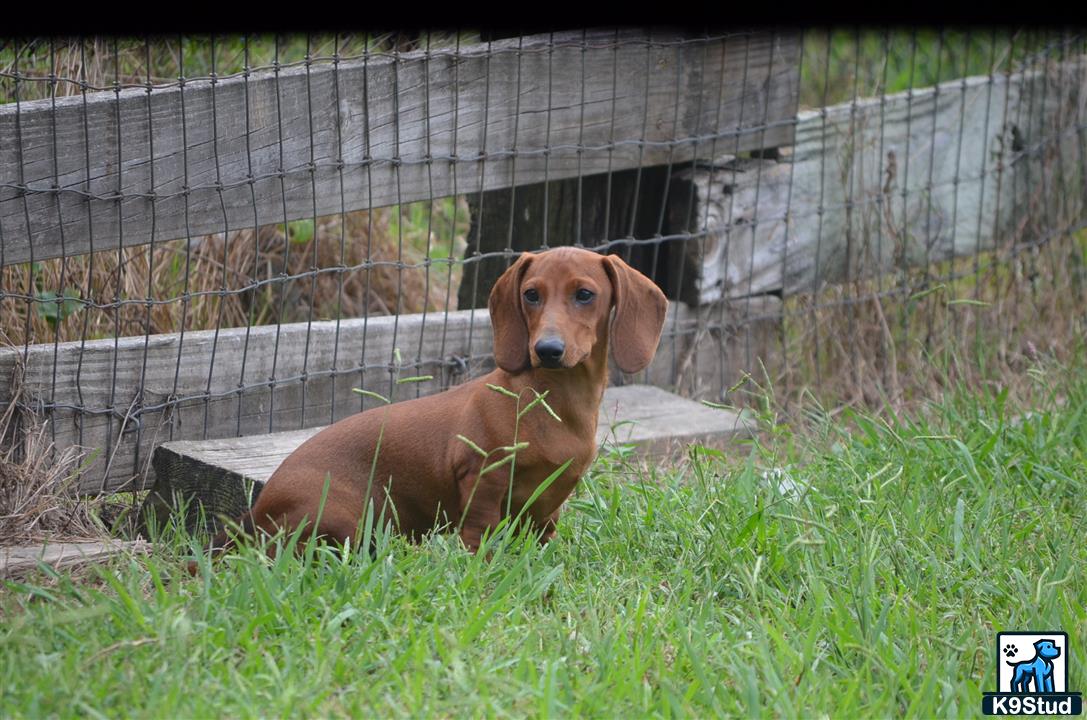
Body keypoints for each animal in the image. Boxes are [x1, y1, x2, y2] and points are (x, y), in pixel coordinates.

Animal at [204, 245, 660, 554]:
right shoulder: (482, 477)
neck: (553, 401)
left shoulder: (551, 500)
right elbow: (479, 532)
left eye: (585, 294)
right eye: (531, 294)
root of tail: (255, 514)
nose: (547, 349)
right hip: (347, 517)